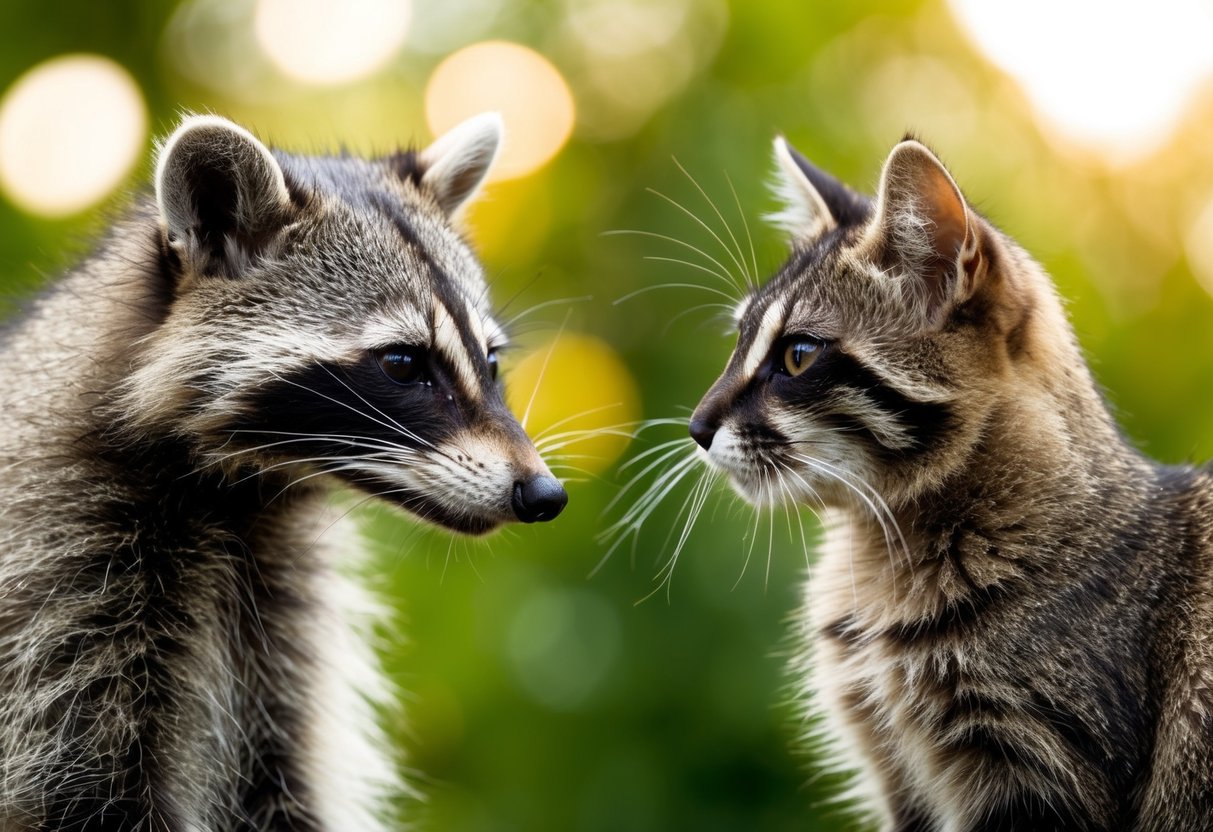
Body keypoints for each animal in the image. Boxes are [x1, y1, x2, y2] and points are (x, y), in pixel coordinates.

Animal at [0, 112, 567, 831]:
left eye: (489, 362)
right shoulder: (59, 578)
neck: (240, 495)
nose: (543, 493)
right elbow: (84, 791)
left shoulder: (281, 633)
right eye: (403, 363)